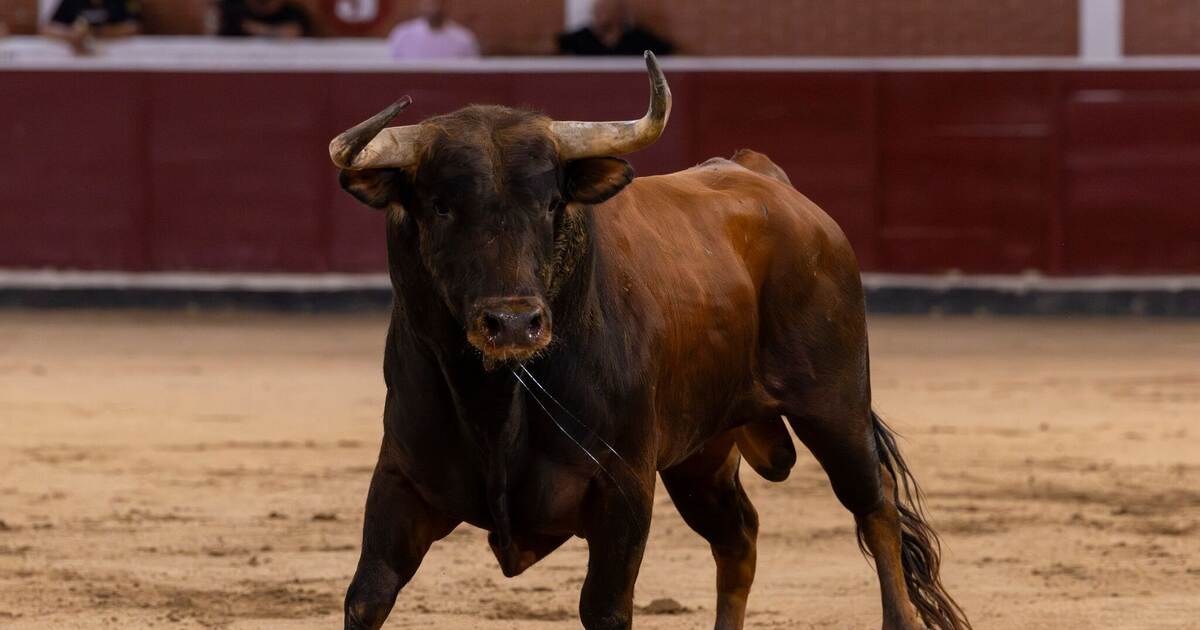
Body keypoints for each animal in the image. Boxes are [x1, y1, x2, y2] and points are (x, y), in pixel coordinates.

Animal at [329, 52, 970, 630]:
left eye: (551, 203)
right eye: (440, 206)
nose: (513, 324)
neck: (494, 402)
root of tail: (765, 178)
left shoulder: (623, 492)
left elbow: (605, 609)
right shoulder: (399, 482)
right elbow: (366, 599)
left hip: (834, 405)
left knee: (874, 503)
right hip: (701, 454)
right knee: (739, 536)